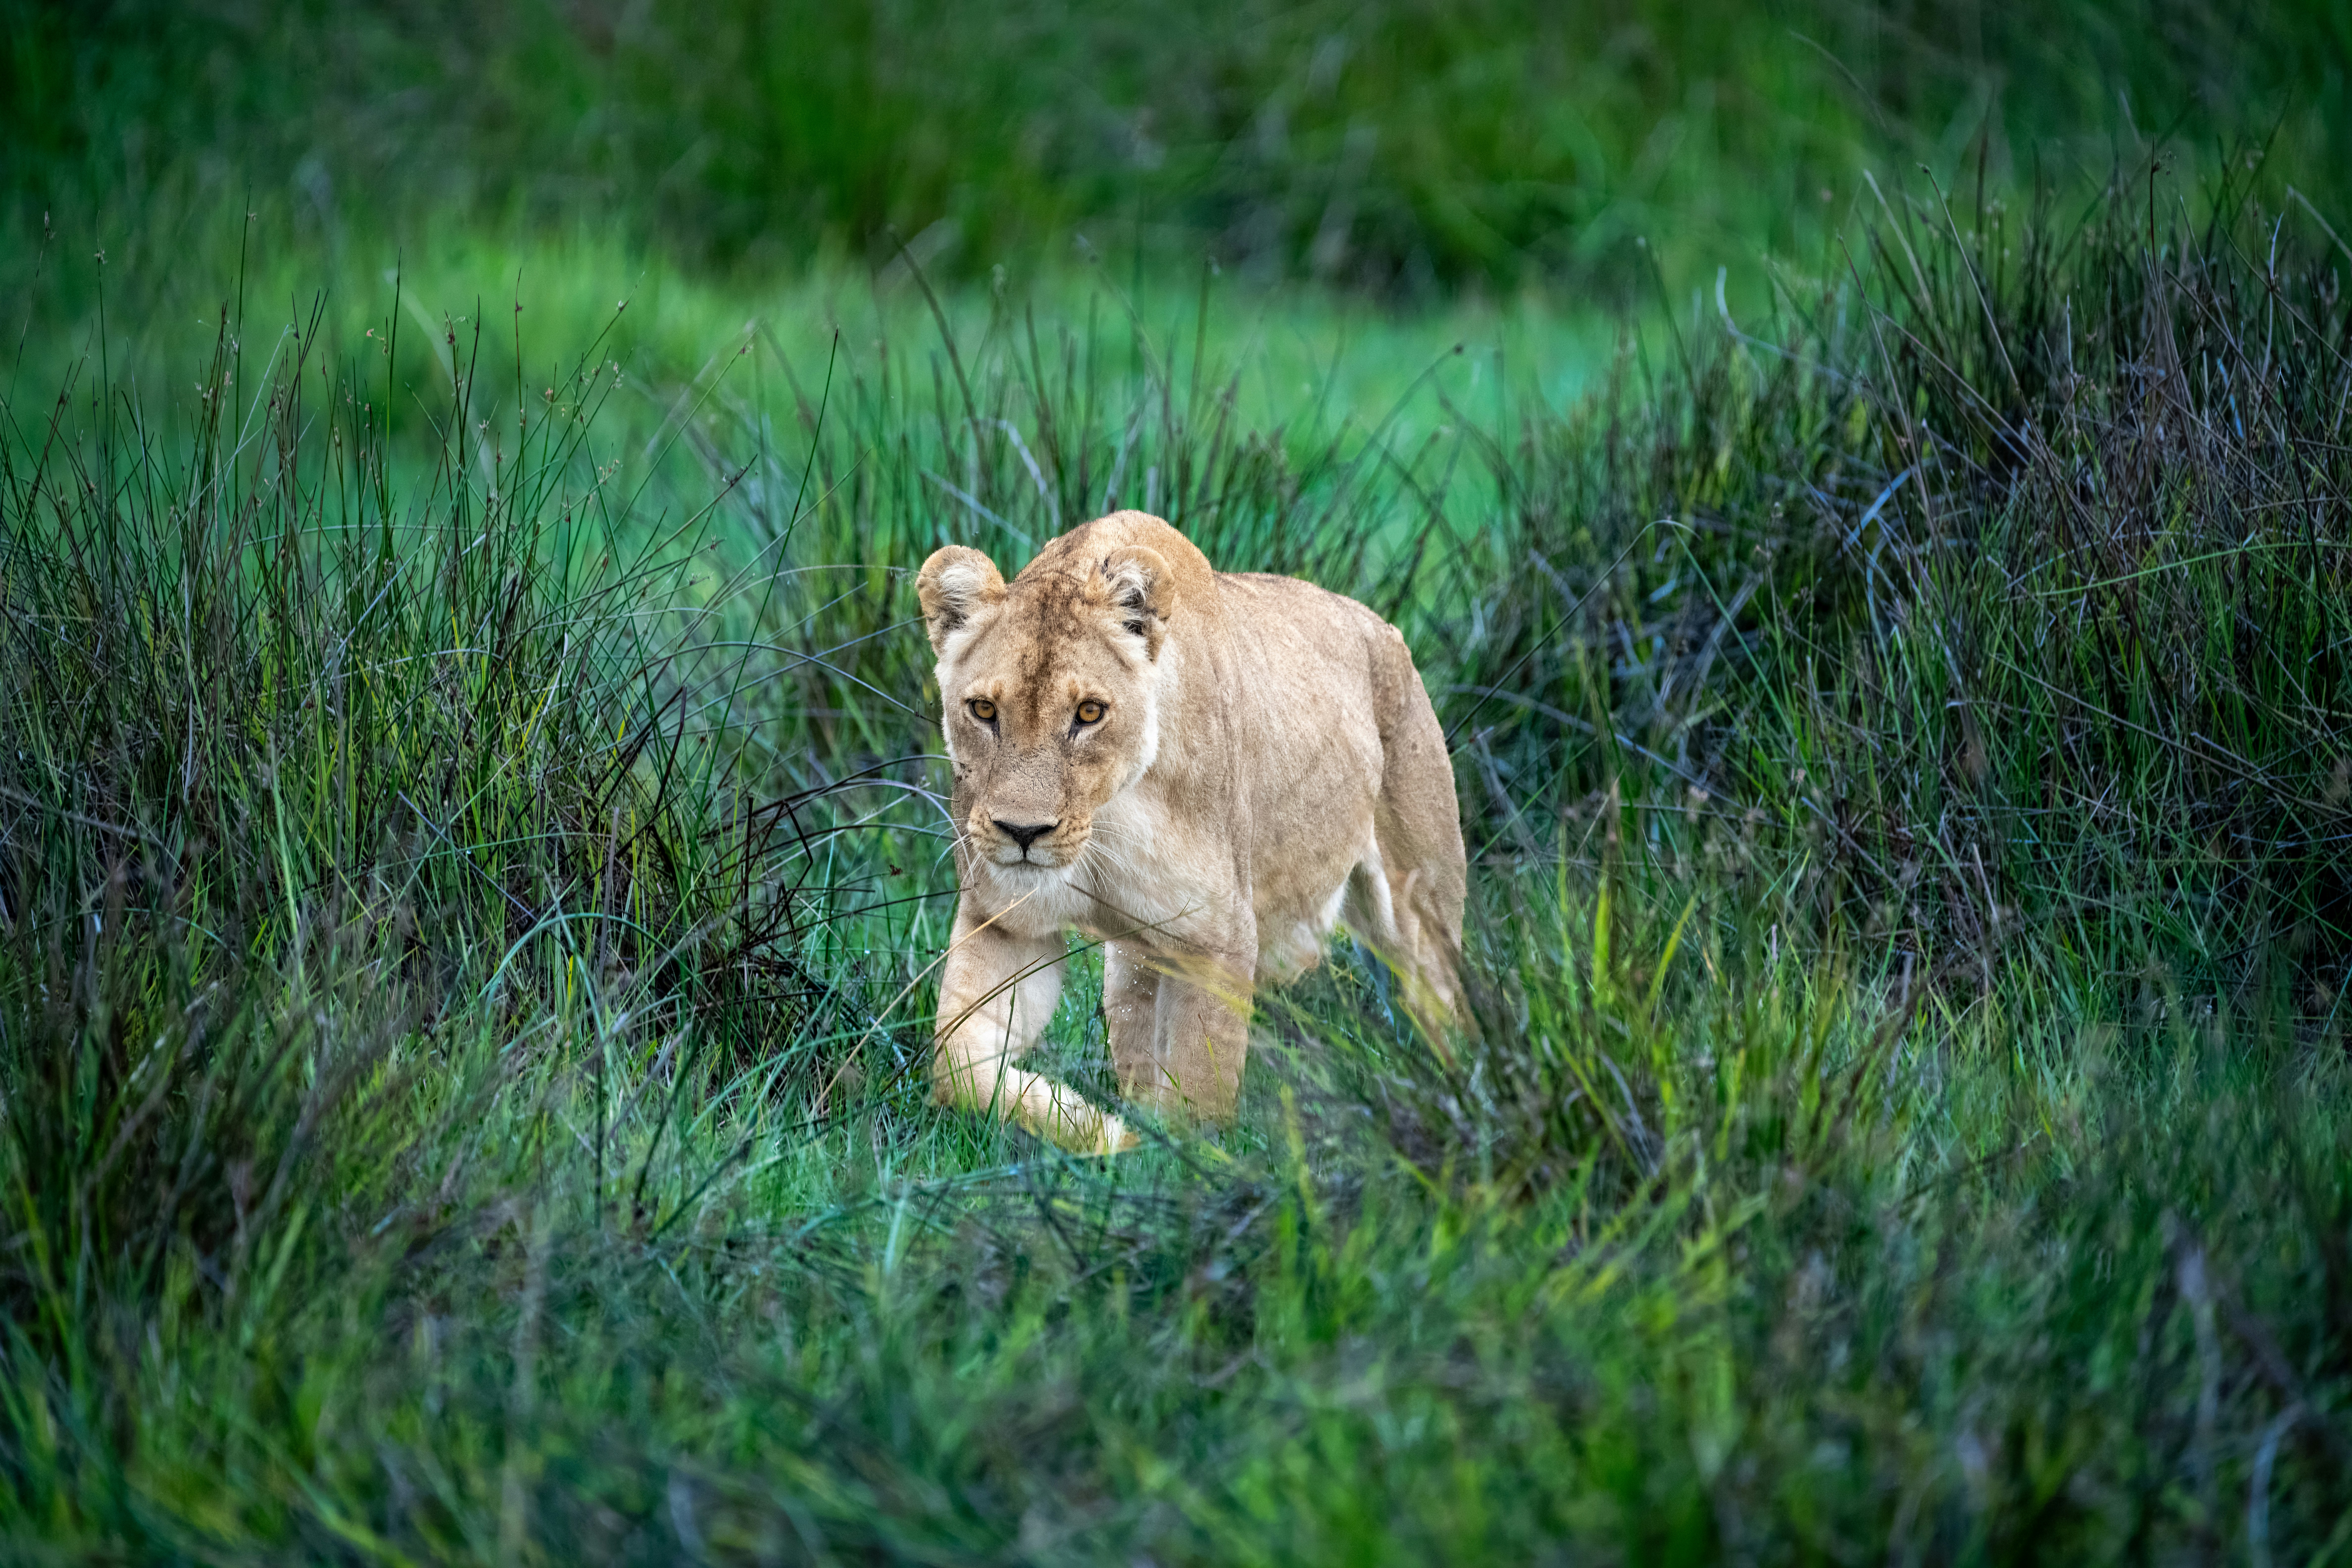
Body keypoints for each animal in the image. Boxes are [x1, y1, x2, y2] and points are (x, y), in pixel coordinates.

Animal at [916, 511, 1467, 1153]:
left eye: (1089, 713)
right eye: (983, 711)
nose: (1022, 832)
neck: (1105, 821)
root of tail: (1380, 626)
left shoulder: (1219, 938)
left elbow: (1202, 1097)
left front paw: (1178, 1154)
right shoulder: (1007, 923)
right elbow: (957, 1068)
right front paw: (1102, 1132)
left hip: (1422, 913)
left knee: (1446, 1008)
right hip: (1133, 963)